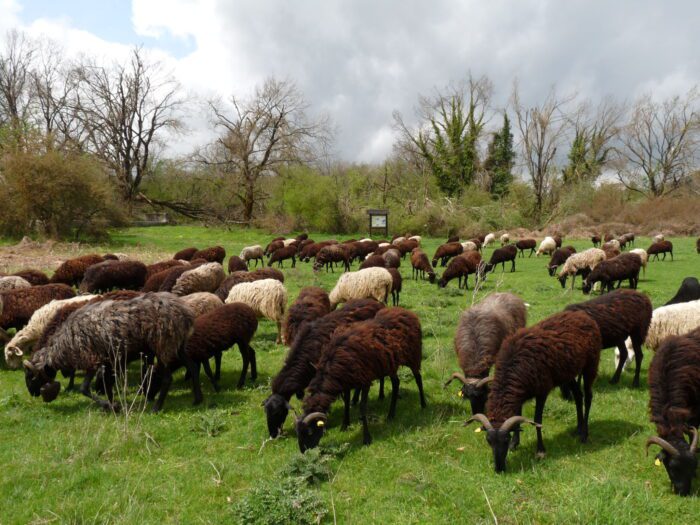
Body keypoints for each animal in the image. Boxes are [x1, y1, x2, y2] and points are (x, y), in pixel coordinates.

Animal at [23, 292, 197, 412]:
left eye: (31, 376)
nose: (32, 394)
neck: (62, 346)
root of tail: (184, 312)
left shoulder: (92, 359)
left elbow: (84, 389)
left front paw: (111, 406)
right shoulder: (107, 361)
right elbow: (107, 385)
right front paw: (112, 405)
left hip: (163, 345)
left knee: (168, 378)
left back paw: (156, 407)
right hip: (177, 344)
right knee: (191, 366)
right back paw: (198, 399)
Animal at [296, 308, 426, 450]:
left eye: (309, 431)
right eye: (298, 433)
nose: (304, 451)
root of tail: (407, 312)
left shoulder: (365, 380)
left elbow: (363, 407)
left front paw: (367, 438)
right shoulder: (346, 381)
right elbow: (347, 402)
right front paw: (345, 425)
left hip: (413, 355)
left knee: (418, 378)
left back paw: (423, 404)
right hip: (390, 364)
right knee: (396, 383)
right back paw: (390, 415)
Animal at [464, 310, 600, 472]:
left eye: (505, 439)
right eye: (488, 440)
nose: (499, 469)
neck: (512, 369)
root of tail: (582, 315)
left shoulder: (542, 391)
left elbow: (537, 420)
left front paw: (540, 450)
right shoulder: (519, 394)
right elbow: (517, 418)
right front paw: (515, 444)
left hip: (590, 365)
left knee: (588, 396)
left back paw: (584, 434)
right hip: (567, 372)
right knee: (578, 396)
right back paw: (578, 429)